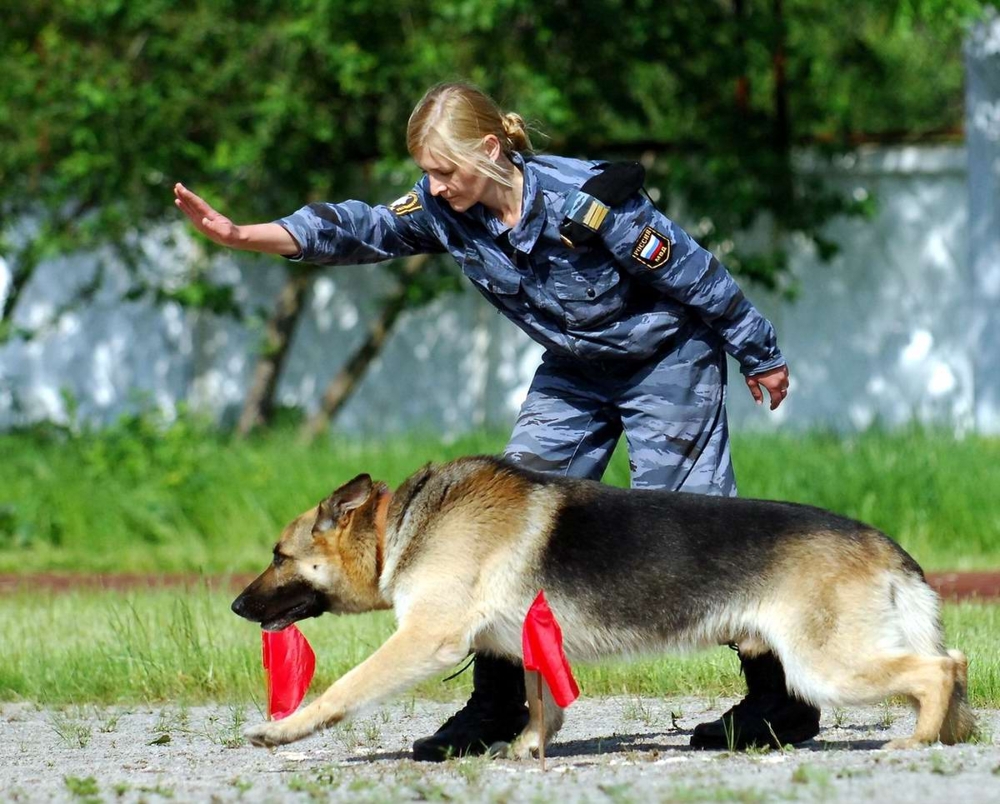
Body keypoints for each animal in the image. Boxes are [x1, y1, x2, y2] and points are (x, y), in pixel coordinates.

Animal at [230, 458, 972, 752]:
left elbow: (342, 690)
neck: (401, 527)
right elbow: (540, 704)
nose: (235, 606)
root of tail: (887, 547)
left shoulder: (421, 641)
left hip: (827, 665)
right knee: (951, 662)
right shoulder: (525, 642)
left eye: (278, 555)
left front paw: (282, 730)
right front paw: (529, 748)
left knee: (939, 668)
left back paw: (917, 740)